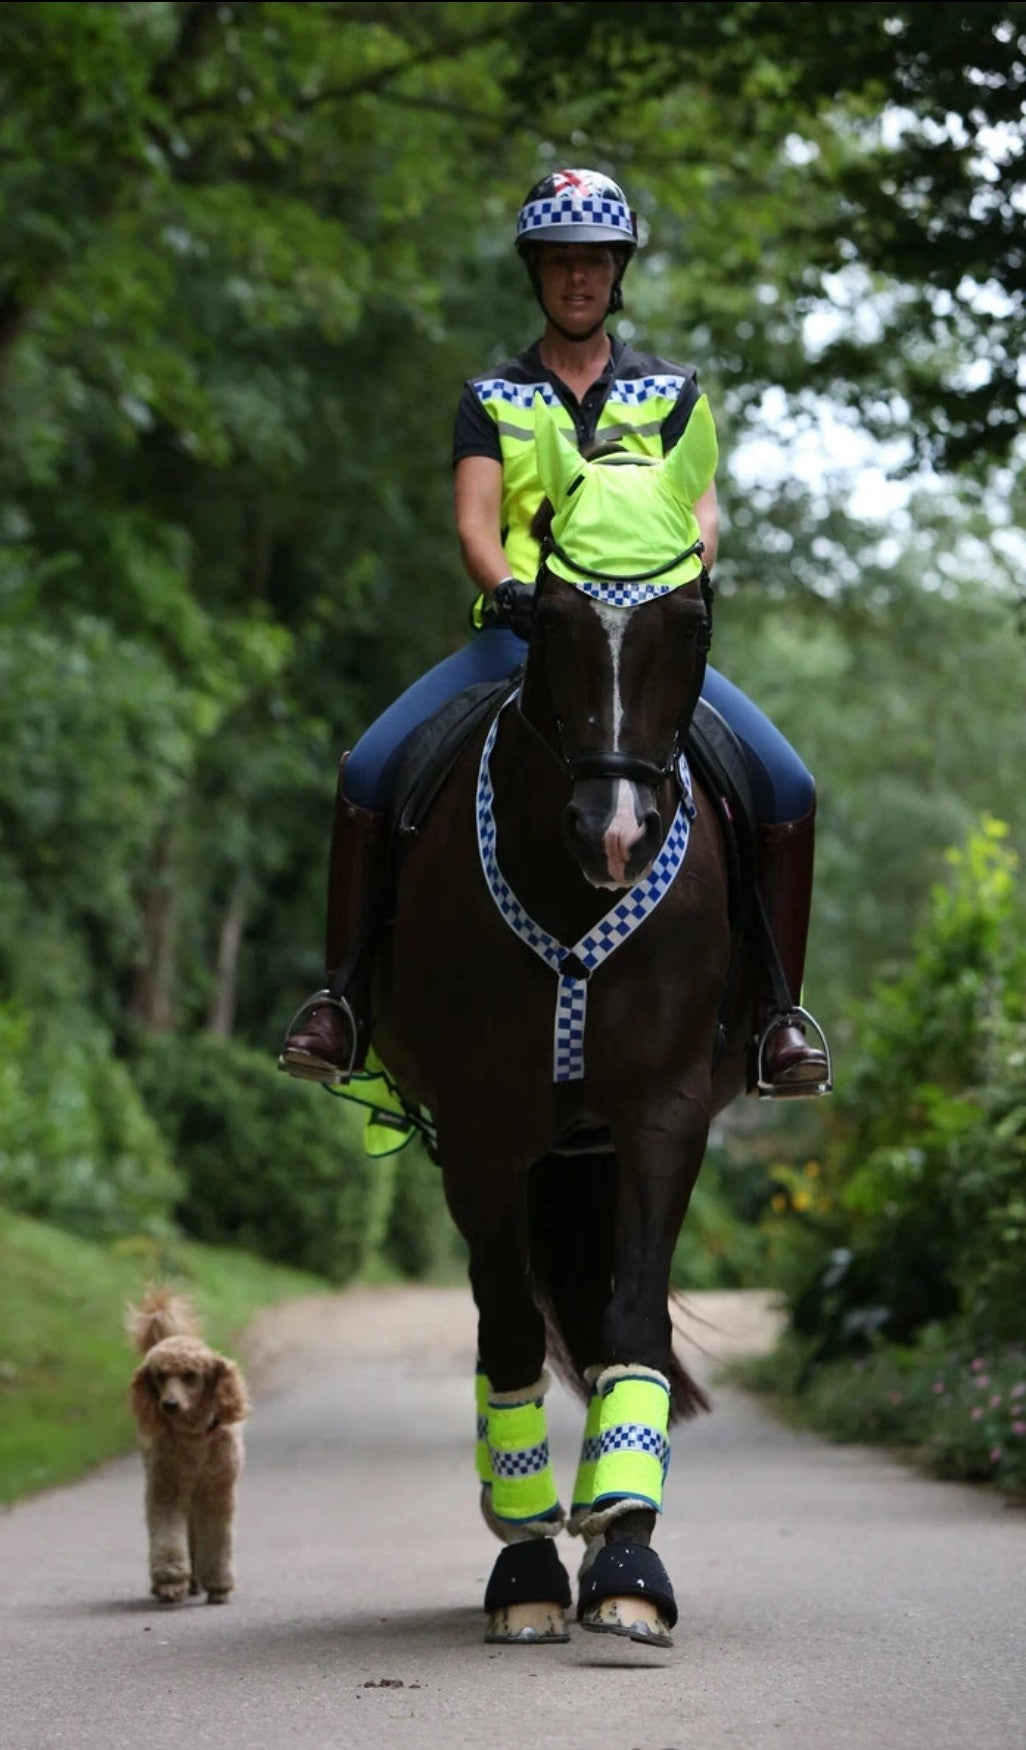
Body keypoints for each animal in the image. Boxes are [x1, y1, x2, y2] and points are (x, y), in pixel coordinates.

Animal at [373, 396, 757, 1648]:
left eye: (690, 617)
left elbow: (632, 1320)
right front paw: (530, 1564)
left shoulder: (664, 1113)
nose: (618, 833)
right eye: (548, 615)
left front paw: (629, 1560)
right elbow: (503, 1333)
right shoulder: (480, 1127)